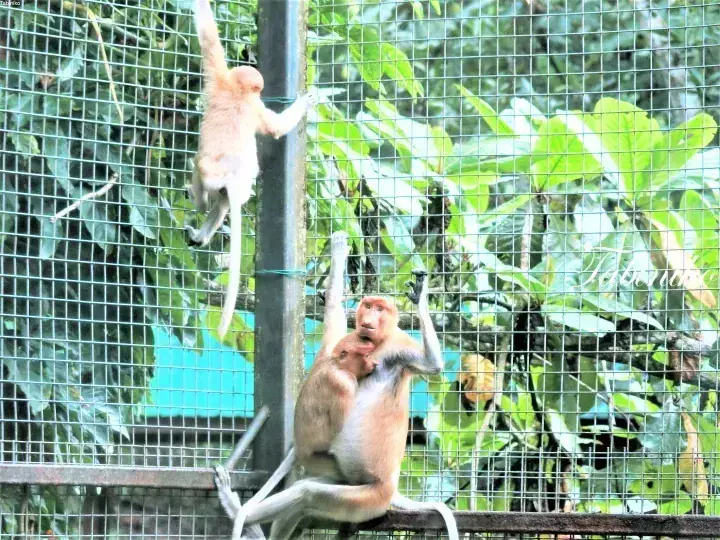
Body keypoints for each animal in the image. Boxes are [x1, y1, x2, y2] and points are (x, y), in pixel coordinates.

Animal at [188, 0, 315, 339]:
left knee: (201, 175)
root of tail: (232, 180)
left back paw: (197, 204)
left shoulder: (224, 82)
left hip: (209, 173)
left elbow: (207, 36)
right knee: (223, 204)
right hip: (234, 187)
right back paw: (201, 235)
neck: (238, 89)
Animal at [214, 231, 458, 540]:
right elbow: (333, 310)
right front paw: (339, 251)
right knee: (303, 495)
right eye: (368, 306)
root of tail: (389, 490)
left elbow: (432, 364)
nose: (369, 318)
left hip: (365, 499)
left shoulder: (398, 346)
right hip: (346, 482)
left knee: (307, 493)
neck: (377, 346)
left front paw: (419, 294)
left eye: (381, 309)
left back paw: (236, 509)